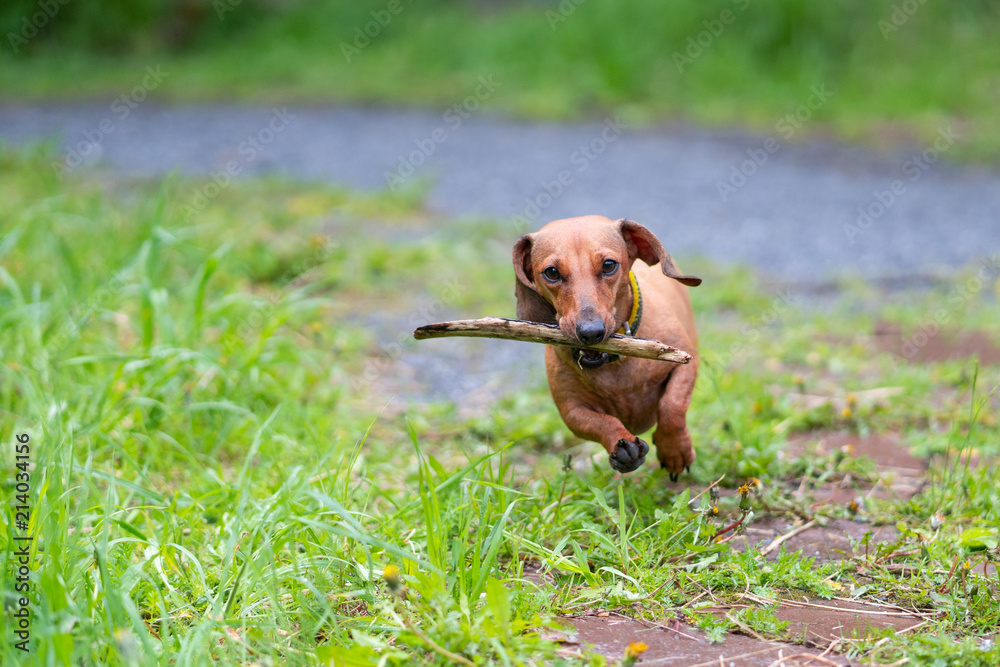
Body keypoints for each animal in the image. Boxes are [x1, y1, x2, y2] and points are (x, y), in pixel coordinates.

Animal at [516, 217, 704, 478]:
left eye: (608, 265)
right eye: (551, 272)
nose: (590, 332)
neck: (613, 364)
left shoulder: (685, 362)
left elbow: (672, 406)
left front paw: (675, 450)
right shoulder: (571, 411)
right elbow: (603, 423)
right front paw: (621, 447)